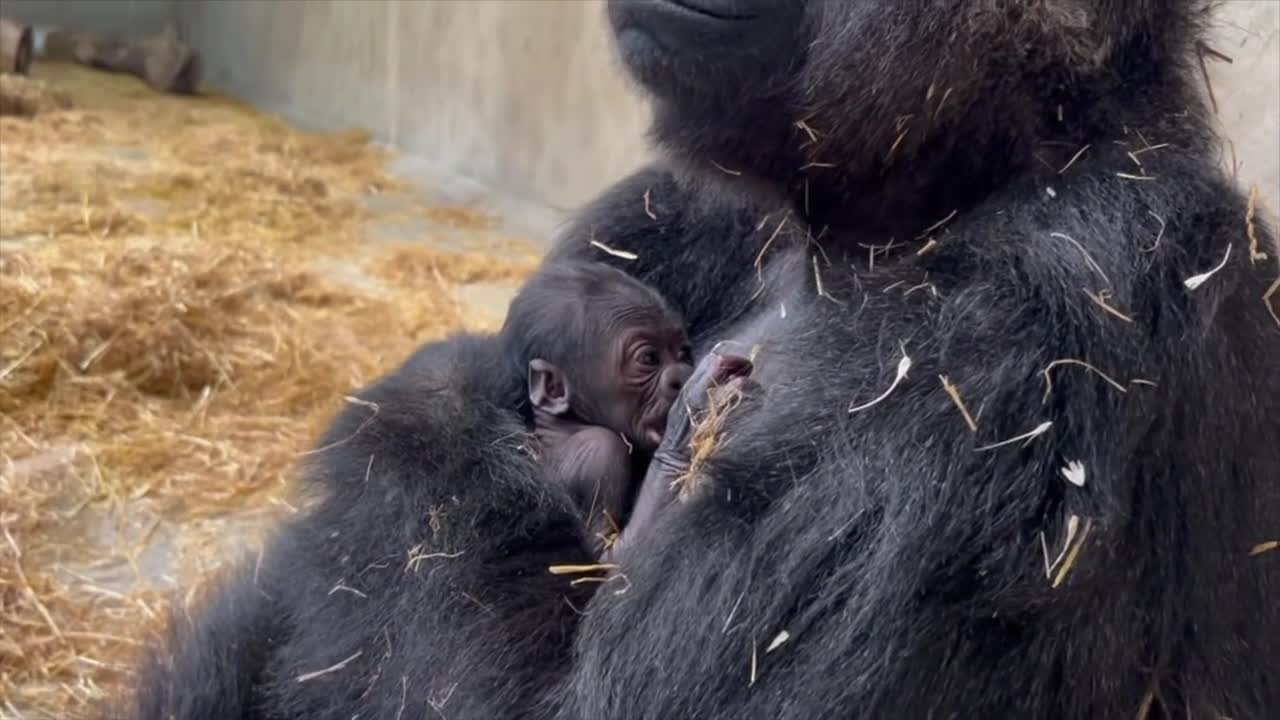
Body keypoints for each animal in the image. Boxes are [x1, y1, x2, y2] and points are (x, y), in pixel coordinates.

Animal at [501, 260, 701, 545]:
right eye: (649, 358)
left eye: (683, 353)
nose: (681, 377)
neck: (566, 424)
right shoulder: (601, 454)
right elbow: (604, 550)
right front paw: (684, 427)